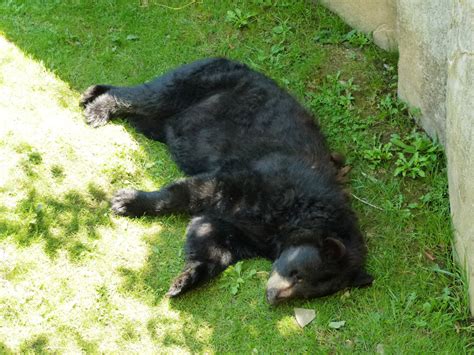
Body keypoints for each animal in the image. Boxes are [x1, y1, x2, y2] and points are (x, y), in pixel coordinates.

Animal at [79, 57, 372, 304]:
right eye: (297, 273)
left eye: (310, 292)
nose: (273, 297)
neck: (297, 215)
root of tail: (230, 59)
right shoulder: (266, 183)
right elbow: (201, 190)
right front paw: (128, 201)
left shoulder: (256, 234)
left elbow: (212, 235)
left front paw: (187, 279)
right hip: (199, 82)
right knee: (147, 96)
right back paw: (99, 108)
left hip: (162, 120)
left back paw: (91, 92)